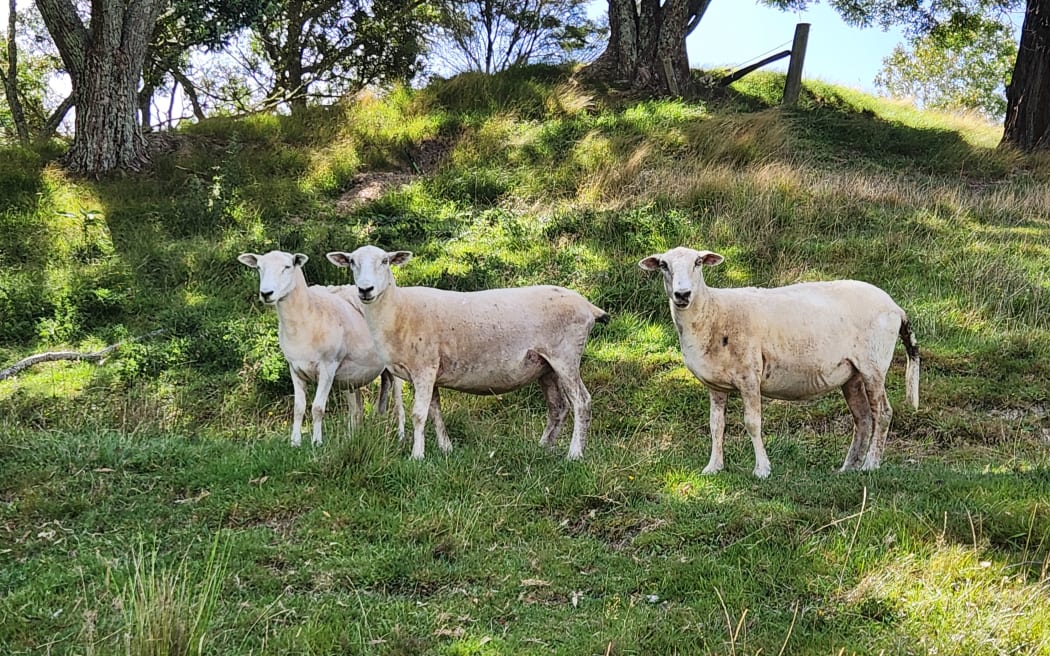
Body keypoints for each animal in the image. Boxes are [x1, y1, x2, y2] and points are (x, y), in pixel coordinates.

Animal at [237, 250, 404, 446]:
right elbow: (298, 408)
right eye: (258, 268)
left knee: (399, 404)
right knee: (356, 409)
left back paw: (401, 436)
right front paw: (295, 443)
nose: (266, 293)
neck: (305, 318)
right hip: (352, 376)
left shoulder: (327, 367)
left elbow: (317, 408)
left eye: (287, 267)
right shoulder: (295, 368)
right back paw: (351, 438)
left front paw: (317, 442)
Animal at [325, 245, 610, 460]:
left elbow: (419, 414)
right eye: (351, 262)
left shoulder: (424, 367)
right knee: (558, 407)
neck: (398, 311)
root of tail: (588, 306)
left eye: (385, 261)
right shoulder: (433, 370)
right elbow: (435, 411)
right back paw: (543, 447)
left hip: (566, 356)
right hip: (545, 365)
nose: (365, 290)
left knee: (582, 402)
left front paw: (417, 456)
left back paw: (574, 454)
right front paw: (446, 448)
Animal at [639, 246, 920, 478]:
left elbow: (752, 423)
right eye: (663, 265)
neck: (713, 312)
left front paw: (762, 469)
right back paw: (849, 467)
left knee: (882, 413)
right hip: (852, 374)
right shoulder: (716, 386)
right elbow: (716, 426)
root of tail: (896, 307)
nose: (682, 294)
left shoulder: (749, 375)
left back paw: (871, 464)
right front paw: (713, 467)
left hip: (874, 364)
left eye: (698, 262)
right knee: (862, 418)